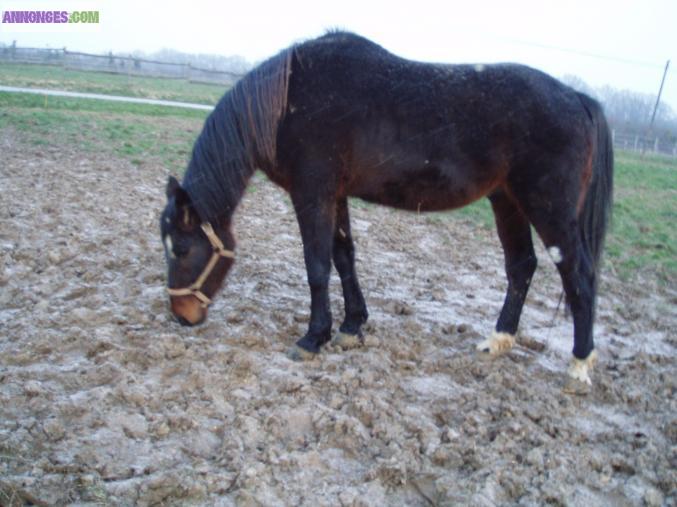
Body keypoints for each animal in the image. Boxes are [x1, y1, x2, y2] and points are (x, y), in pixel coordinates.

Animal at [159, 31, 613, 389]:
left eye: (181, 249)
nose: (181, 316)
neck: (286, 103)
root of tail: (577, 98)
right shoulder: (335, 195)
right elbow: (343, 257)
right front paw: (351, 326)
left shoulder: (312, 193)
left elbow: (317, 266)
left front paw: (313, 338)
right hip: (507, 201)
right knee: (521, 266)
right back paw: (497, 341)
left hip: (548, 208)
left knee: (579, 275)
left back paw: (578, 365)